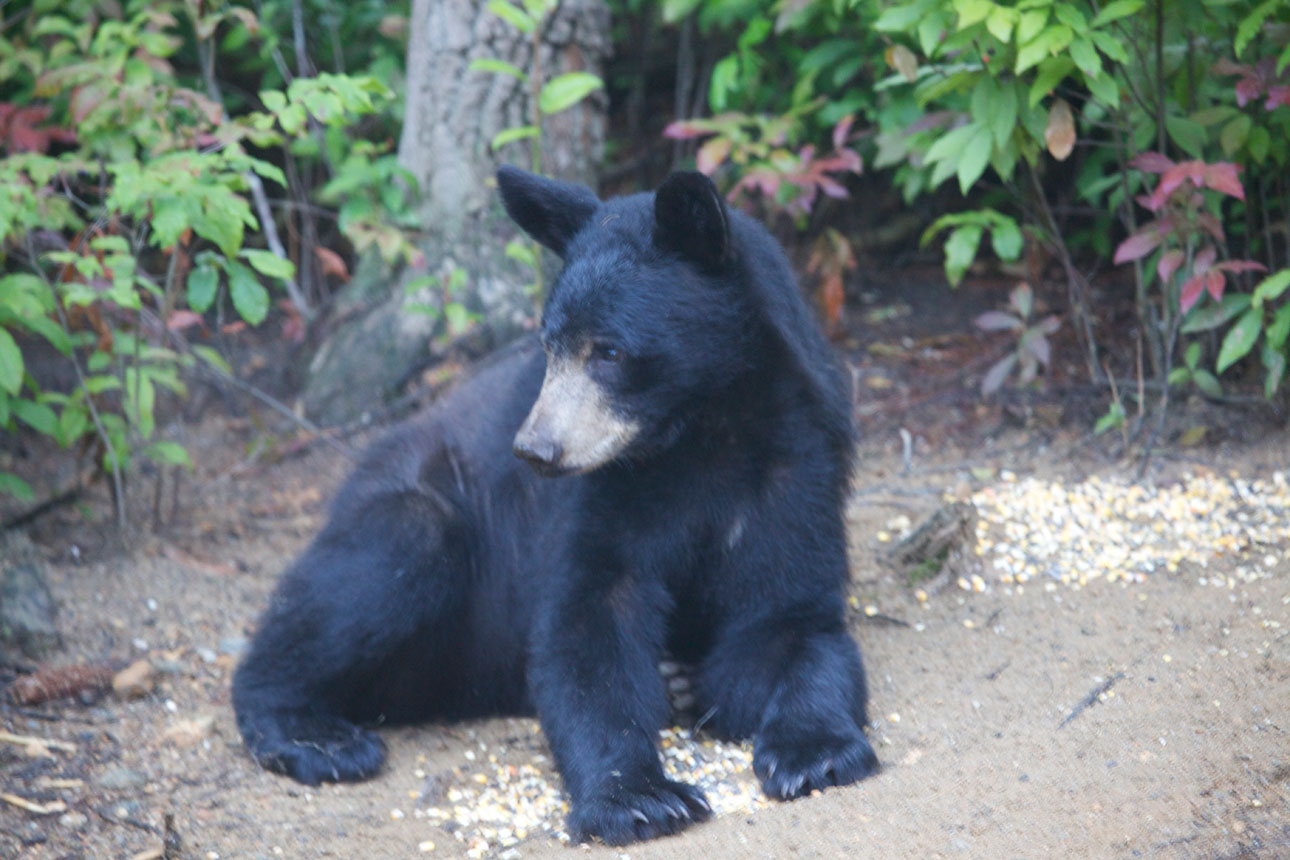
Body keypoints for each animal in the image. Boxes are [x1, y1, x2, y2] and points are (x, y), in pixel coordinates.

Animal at [232, 166, 879, 846]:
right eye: (549, 345)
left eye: (609, 351)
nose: (535, 449)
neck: (699, 438)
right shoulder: (598, 498)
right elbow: (586, 628)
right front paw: (638, 796)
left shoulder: (796, 466)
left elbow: (789, 621)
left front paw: (815, 752)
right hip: (421, 521)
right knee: (383, 562)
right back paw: (318, 739)